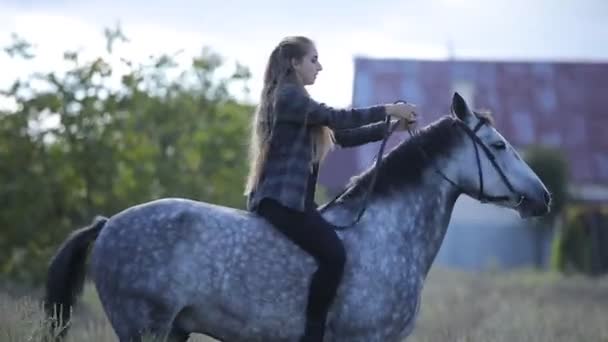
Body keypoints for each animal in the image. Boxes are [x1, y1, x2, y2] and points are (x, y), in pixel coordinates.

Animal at [45, 92, 552, 340]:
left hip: (174, 331)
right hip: (144, 327)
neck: (387, 235)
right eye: (499, 145)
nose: (542, 197)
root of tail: (108, 225)